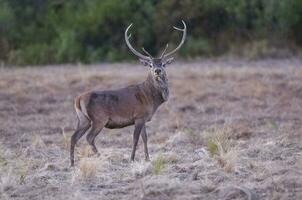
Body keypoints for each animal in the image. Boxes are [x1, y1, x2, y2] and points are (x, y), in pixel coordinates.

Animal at [70, 20, 186, 167]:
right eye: (150, 64)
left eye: (164, 64)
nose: (157, 70)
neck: (151, 99)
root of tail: (78, 99)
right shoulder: (139, 116)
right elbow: (135, 138)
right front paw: (132, 159)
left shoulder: (144, 118)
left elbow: (145, 138)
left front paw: (148, 159)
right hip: (99, 118)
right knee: (89, 137)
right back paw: (102, 158)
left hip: (83, 119)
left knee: (73, 137)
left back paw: (72, 163)